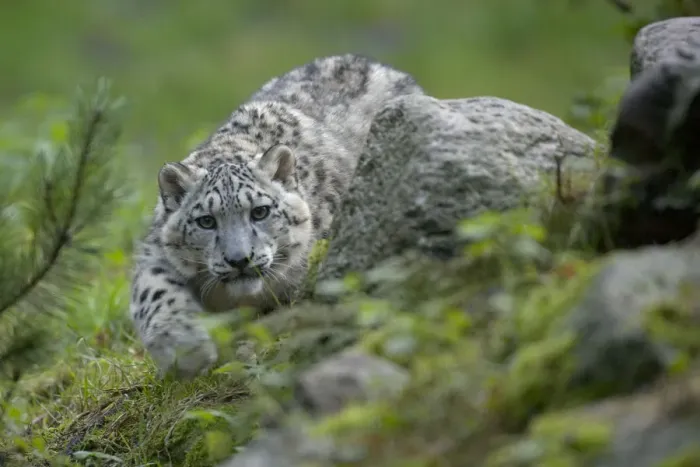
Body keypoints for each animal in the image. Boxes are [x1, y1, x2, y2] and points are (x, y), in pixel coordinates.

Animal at [129, 54, 424, 378]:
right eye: (206, 221)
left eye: (260, 212)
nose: (239, 259)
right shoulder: (154, 251)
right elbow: (153, 290)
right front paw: (184, 348)